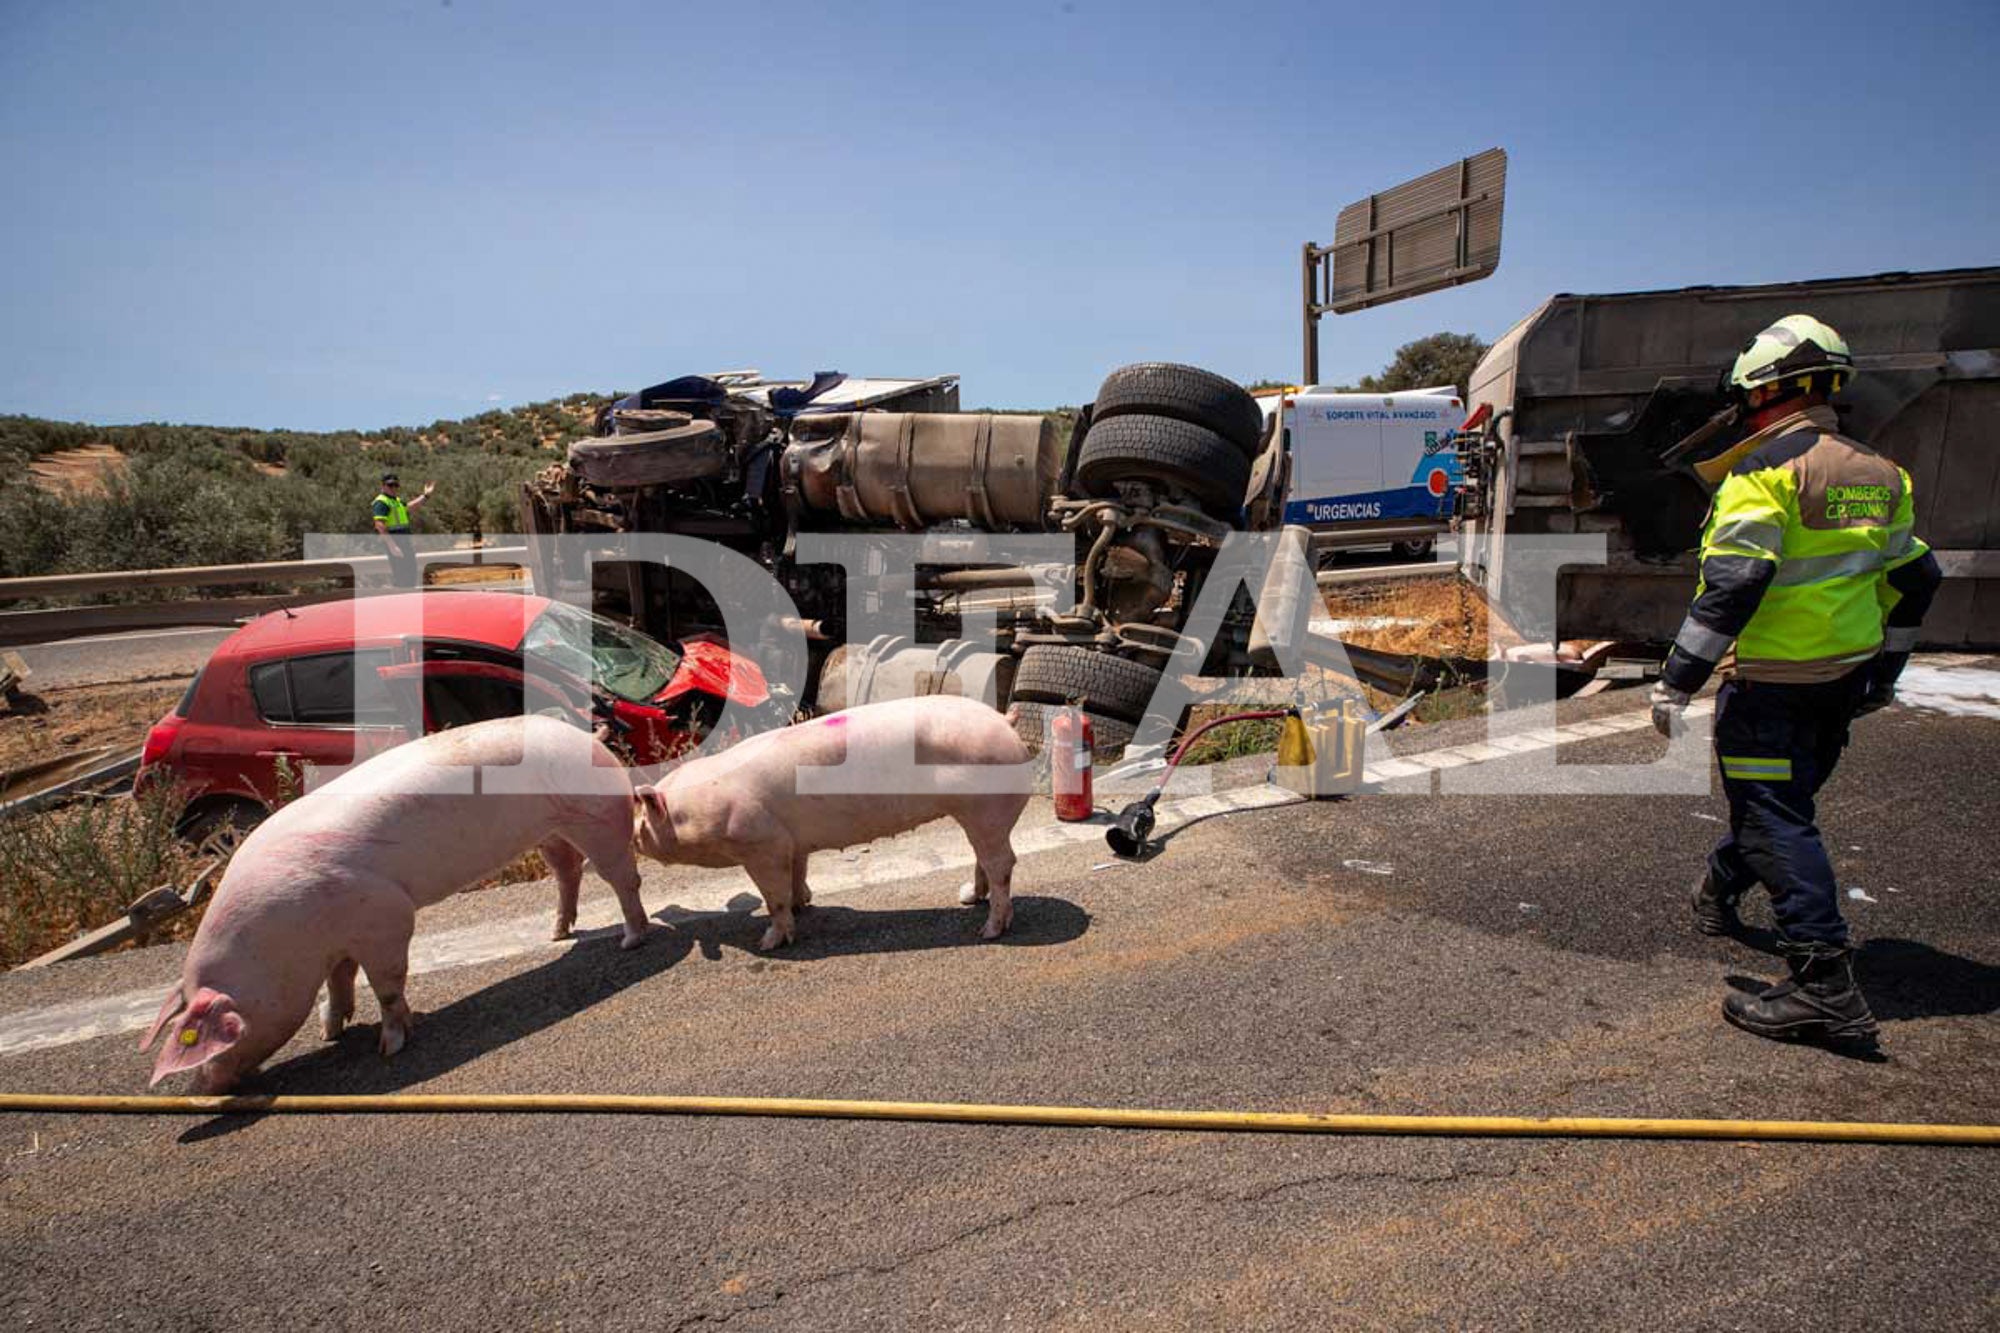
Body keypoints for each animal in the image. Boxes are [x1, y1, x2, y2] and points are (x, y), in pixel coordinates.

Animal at [145, 716, 652, 1088]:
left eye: (213, 1033)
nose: (204, 1089)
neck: (279, 944)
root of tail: (587, 736)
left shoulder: (384, 914)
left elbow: (386, 984)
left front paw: (389, 1048)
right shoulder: (342, 935)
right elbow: (340, 980)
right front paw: (330, 1031)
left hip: (597, 815)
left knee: (623, 878)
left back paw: (631, 940)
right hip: (549, 830)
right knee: (568, 869)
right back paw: (557, 933)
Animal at [636, 696, 1032, 944]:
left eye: (643, 820)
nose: (633, 839)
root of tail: (1004, 721)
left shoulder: (762, 844)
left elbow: (773, 897)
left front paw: (768, 943)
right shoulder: (791, 843)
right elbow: (797, 876)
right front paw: (803, 904)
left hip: (986, 808)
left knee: (1002, 863)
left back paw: (988, 931)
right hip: (978, 815)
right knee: (983, 858)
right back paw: (968, 897)